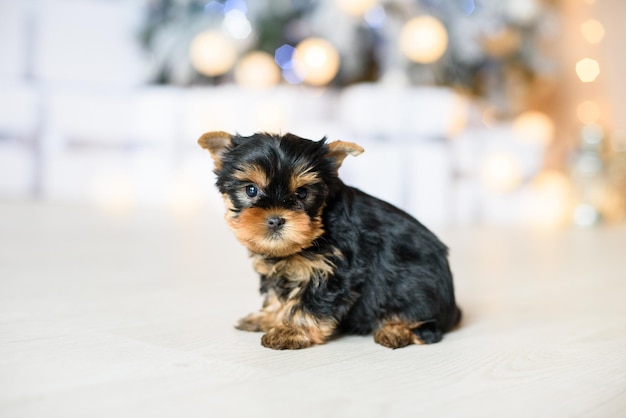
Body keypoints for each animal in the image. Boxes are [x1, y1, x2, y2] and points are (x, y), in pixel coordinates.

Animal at [199, 131, 458, 350]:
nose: (275, 220)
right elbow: (275, 293)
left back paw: (395, 330)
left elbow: (310, 302)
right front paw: (269, 317)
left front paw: (291, 330)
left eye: (302, 193)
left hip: (414, 286)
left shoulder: (334, 269)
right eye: (251, 190)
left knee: (428, 327)